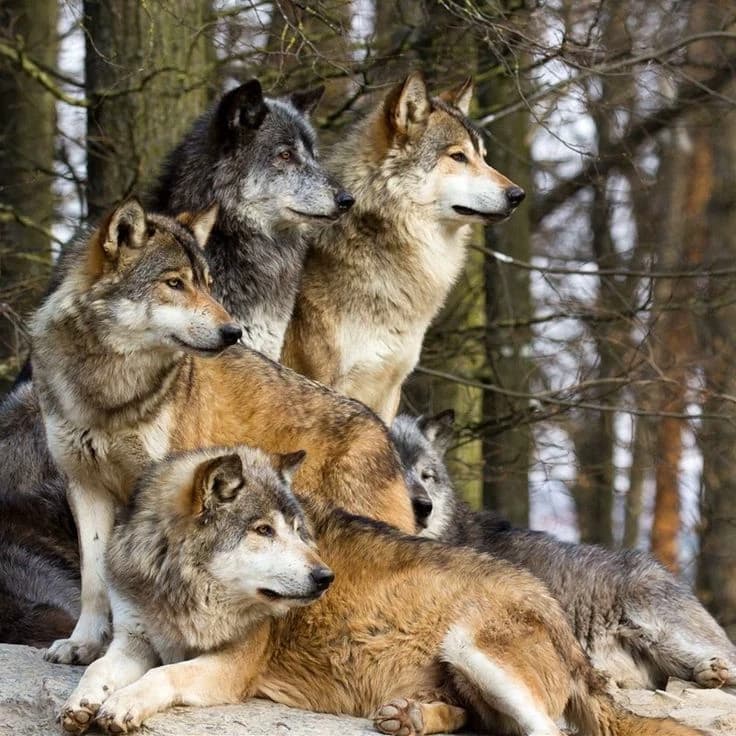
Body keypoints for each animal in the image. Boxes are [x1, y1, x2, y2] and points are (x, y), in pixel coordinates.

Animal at [31, 198, 414, 666]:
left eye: (208, 284)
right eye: (174, 283)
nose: (233, 332)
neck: (110, 391)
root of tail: (383, 430)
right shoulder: (84, 486)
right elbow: (93, 579)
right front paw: (83, 644)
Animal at [61, 446, 701, 736]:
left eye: (298, 531)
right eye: (263, 531)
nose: (324, 579)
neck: (180, 591)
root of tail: (558, 614)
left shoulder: (230, 668)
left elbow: (162, 677)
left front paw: (121, 707)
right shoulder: (134, 639)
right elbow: (100, 668)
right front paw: (84, 703)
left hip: (472, 647)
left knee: (545, 732)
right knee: (482, 724)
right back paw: (409, 717)